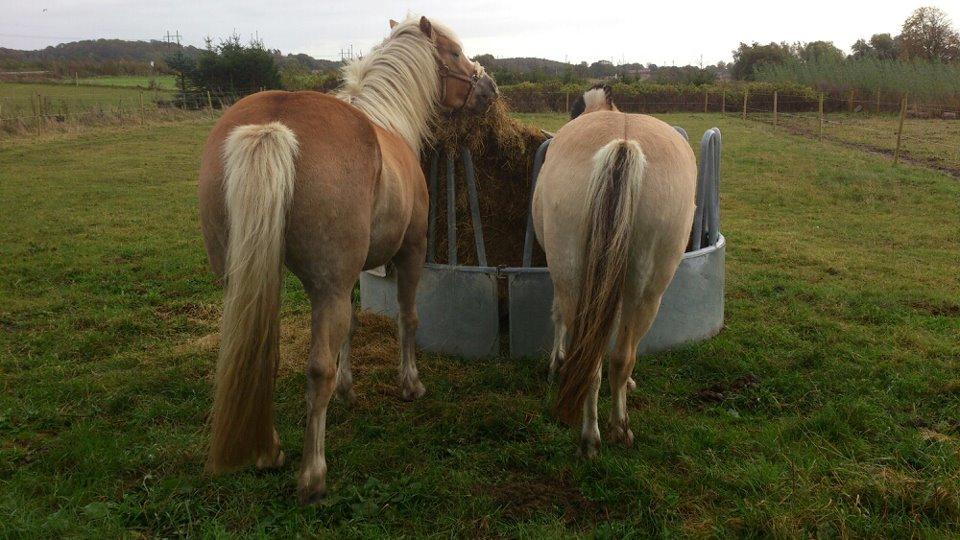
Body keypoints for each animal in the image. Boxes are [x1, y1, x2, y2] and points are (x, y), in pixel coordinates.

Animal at [195, 14, 496, 504]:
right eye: (454, 52)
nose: (487, 86)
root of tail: (274, 124)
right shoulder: (410, 252)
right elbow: (408, 317)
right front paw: (410, 383)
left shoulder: (349, 273)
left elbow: (351, 328)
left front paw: (348, 390)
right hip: (328, 286)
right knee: (316, 369)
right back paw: (312, 475)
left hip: (250, 282)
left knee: (263, 357)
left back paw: (269, 452)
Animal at [532, 84, 696, 456]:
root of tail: (624, 143)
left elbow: (556, 314)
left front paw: (555, 362)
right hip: (647, 290)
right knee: (622, 356)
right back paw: (620, 427)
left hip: (574, 278)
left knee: (591, 358)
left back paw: (590, 437)